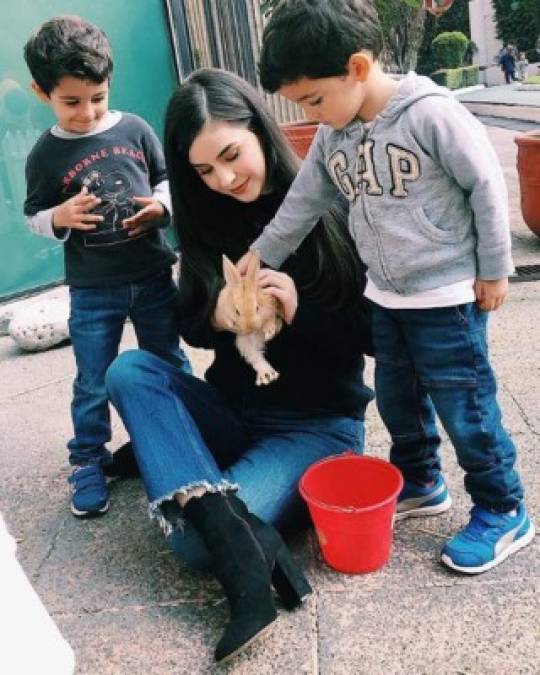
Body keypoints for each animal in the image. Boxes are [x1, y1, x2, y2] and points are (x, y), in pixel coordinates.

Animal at [221, 251, 284, 386]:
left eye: (257, 307)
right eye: (237, 311)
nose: (250, 328)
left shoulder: (271, 305)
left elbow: (270, 318)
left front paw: (269, 331)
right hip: (244, 344)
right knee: (256, 358)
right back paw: (266, 376)